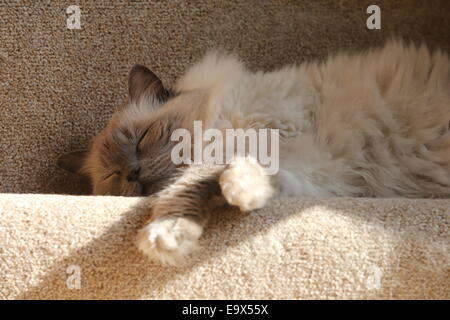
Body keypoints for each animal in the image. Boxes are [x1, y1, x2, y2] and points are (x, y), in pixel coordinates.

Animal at [58, 40, 450, 264]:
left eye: (141, 140)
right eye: (113, 175)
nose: (133, 173)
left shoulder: (263, 137)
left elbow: (185, 185)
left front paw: (167, 236)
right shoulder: (316, 173)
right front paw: (241, 194)